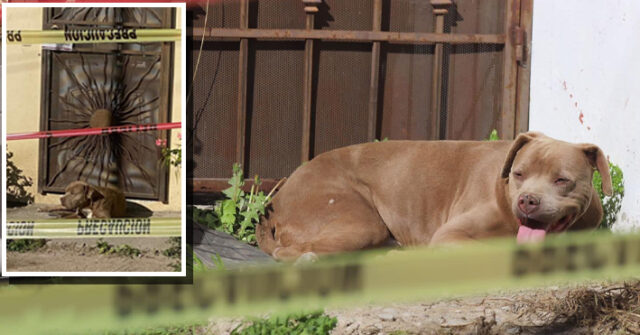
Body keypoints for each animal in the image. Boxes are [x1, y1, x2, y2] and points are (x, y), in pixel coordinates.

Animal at [258, 132, 612, 262]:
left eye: (561, 180)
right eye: (519, 174)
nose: (527, 200)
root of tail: (280, 192)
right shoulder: (451, 234)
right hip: (355, 220)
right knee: (291, 252)